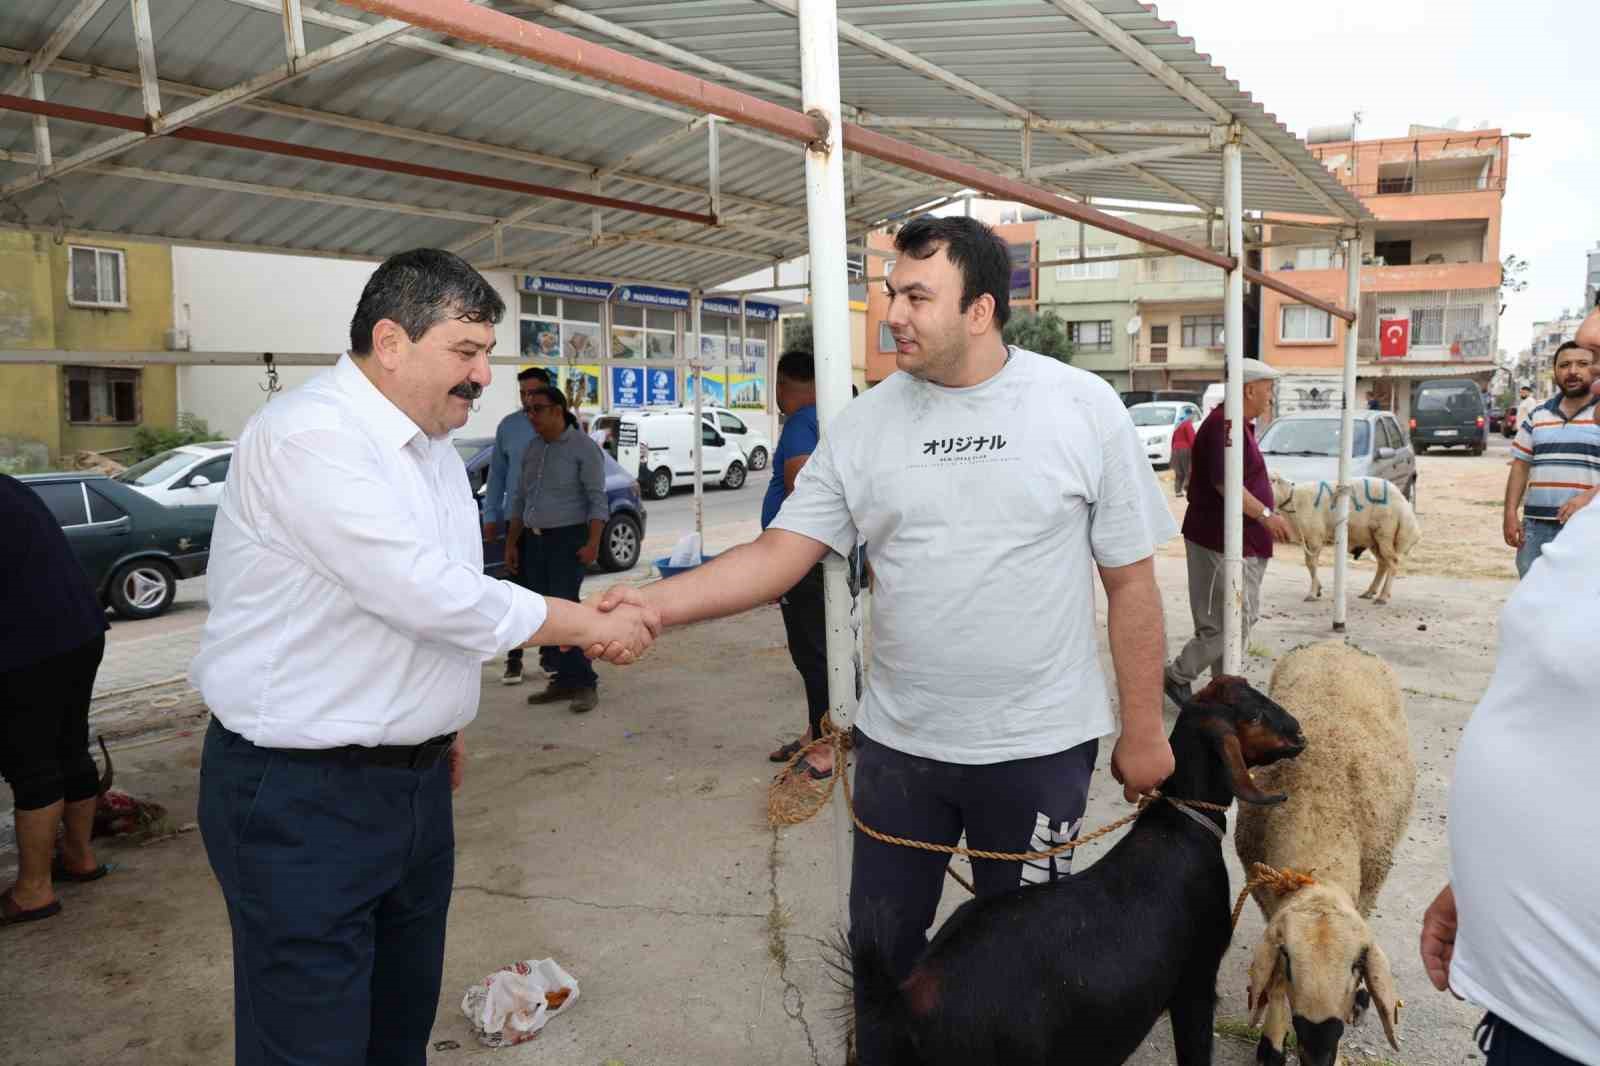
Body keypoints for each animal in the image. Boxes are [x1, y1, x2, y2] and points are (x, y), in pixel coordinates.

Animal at [1228, 640, 1420, 1062]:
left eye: (1356, 965)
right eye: (1288, 960)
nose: (1318, 1053)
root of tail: (1336, 643)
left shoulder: (1370, 881)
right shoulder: (1265, 890)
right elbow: (1275, 985)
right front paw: (1272, 1045)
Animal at [1273, 473, 1427, 605]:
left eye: (1272, 480)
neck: (1293, 500)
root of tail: (1404, 504)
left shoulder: (1315, 536)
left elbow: (1312, 564)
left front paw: (1312, 593)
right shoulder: (1306, 538)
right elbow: (1309, 564)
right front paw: (1318, 589)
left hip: (1385, 532)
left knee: (1393, 562)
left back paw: (1382, 597)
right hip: (1373, 539)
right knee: (1383, 563)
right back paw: (1369, 592)